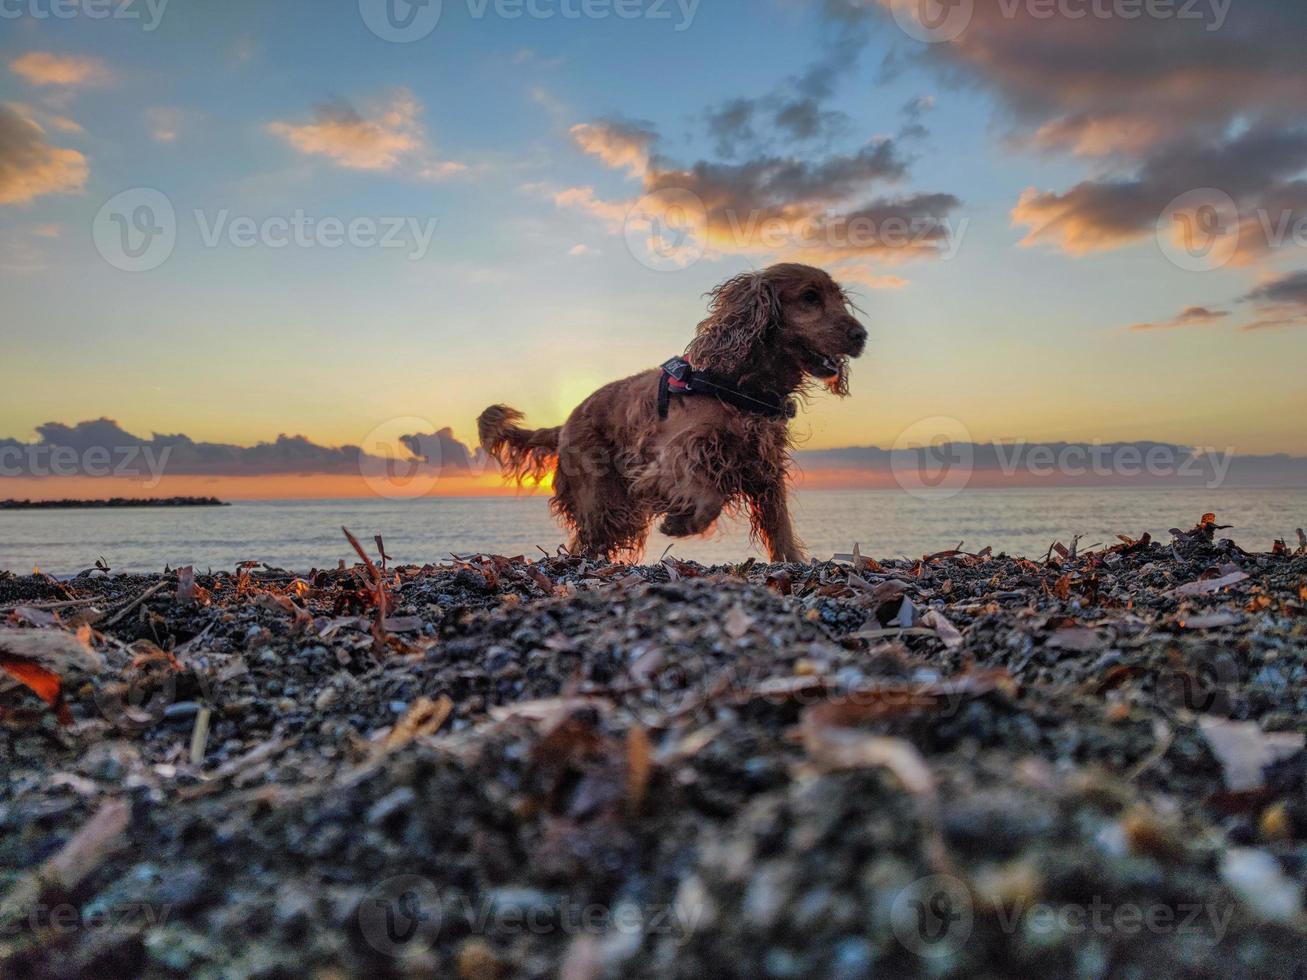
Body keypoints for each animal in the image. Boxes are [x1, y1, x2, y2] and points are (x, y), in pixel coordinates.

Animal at [480, 265, 867, 564]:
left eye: (838, 297)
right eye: (809, 297)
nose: (862, 335)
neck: (738, 385)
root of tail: (565, 423)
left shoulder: (765, 469)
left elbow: (781, 528)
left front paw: (793, 562)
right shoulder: (669, 460)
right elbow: (708, 497)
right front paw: (681, 523)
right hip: (603, 500)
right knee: (587, 541)